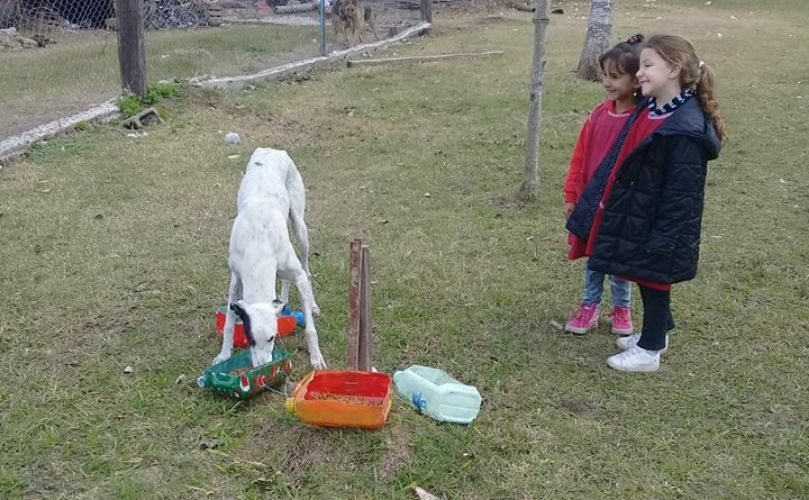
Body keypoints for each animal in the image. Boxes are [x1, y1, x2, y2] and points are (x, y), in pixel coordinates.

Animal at [215, 146, 328, 370]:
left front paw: (316, 357)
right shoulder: (236, 280)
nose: (263, 366)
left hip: (300, 227)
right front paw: (224, 354)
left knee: (307, 269)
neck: (257, 246)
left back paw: (312, 304)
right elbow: (229, 323)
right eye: (250, 339)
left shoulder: (297, 275)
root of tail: (272, 150)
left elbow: (310, 329)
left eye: (272, 338)